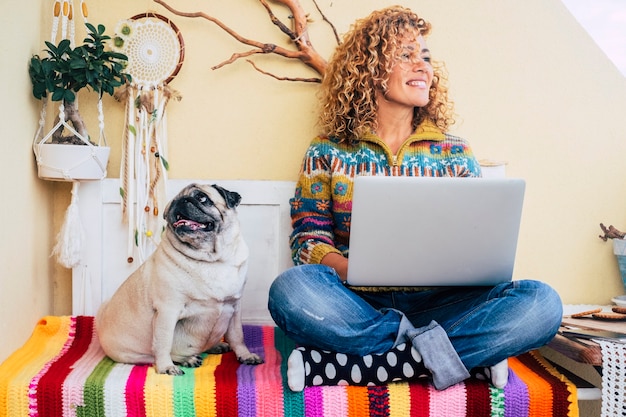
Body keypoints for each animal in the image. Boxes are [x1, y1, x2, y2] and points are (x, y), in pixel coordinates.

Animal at [96, 182, 262, 374]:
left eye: (202, 197)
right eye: (172, 204)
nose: (181, 201)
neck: (212, 260)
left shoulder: (235, 307)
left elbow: (237, 336)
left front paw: (245, 355)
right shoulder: (168, 311)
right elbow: (163, 343)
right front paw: (165, 367)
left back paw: (215, 347)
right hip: (134, 353)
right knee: (154, 354)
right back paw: (185, 359)